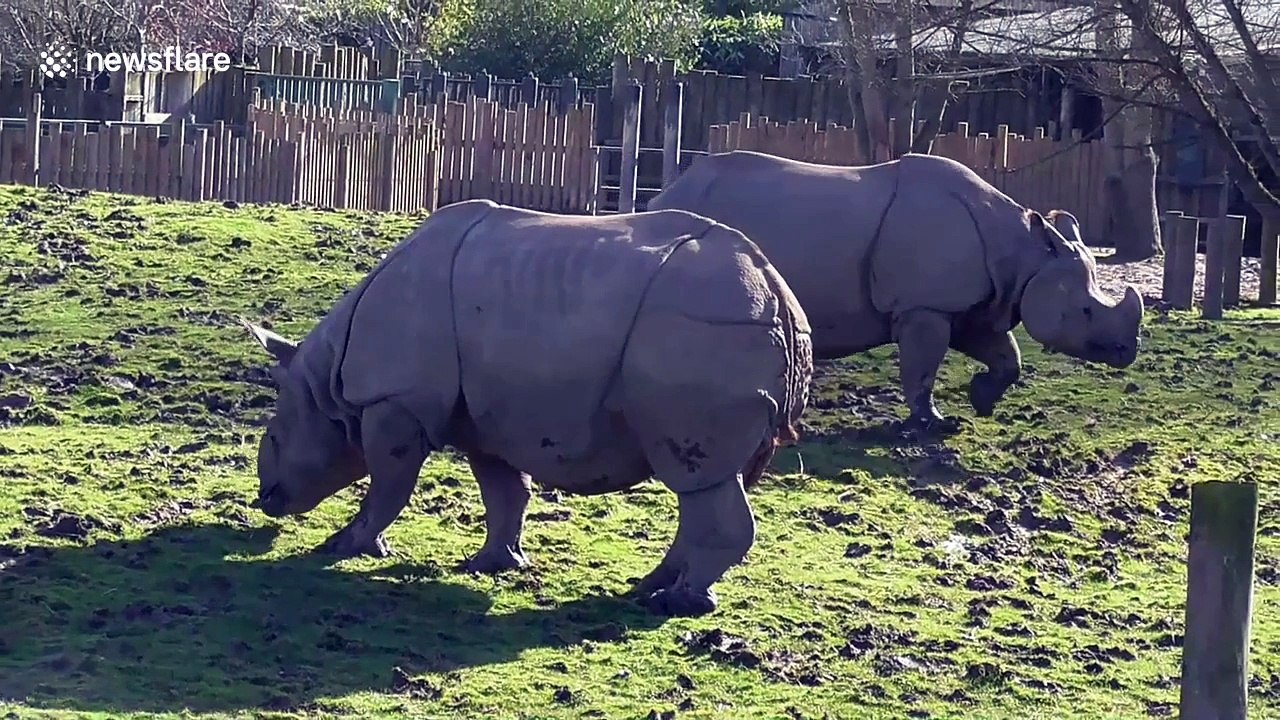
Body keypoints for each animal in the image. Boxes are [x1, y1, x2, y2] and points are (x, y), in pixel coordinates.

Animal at [238, 198, 813, 617]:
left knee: (698, 478)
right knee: (705, 484)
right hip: (723, 326)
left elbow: (388, 485)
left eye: (274, 440)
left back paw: (678, 604)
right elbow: (503, 491)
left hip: (703, 329)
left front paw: (342, 547)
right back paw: (647, 588)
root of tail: (777, 291)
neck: (325, 387)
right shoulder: (483, 419)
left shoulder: (394, 401)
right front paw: (490, 565)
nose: (266, 500)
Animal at [648, 150, 1142, 433]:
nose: (1127, 352)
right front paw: (936, 425)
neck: (1025, 253)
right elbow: (921, 368)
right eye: (1086, 311)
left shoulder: (972, 306)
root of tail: (664, 192)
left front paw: (981, 402)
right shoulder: (926, 306)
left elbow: (1008, 357)